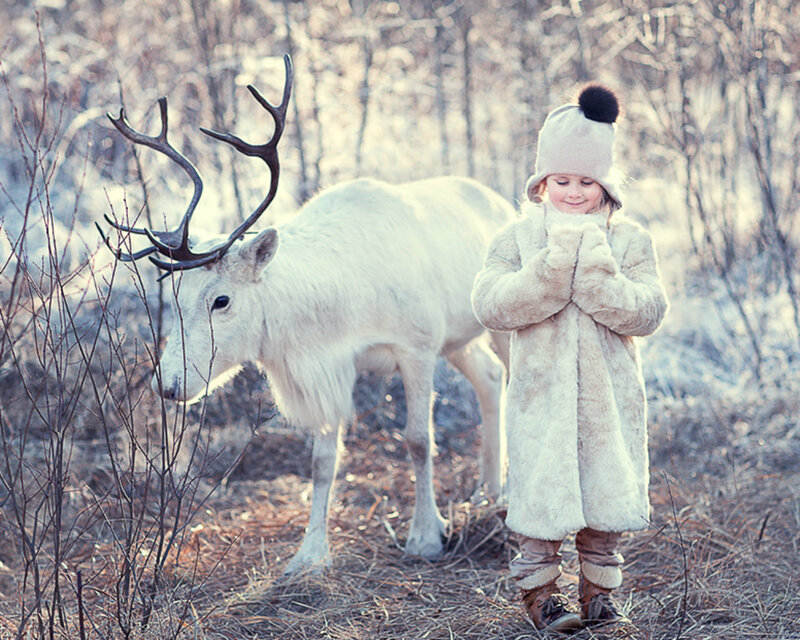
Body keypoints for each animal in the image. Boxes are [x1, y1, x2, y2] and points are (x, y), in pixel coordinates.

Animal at [100, 55, 515, 574]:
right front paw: (310, 554)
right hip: (461, 338)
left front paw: (425, 536)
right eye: (175, 296)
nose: (169, 384)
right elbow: (322, 461)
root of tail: (501, 200)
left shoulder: (417, 345)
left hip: (501, 325)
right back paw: (489, 490)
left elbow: (419, 440)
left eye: (221, 300)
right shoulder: (330, 368)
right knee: (490, 379)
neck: (333, 316)